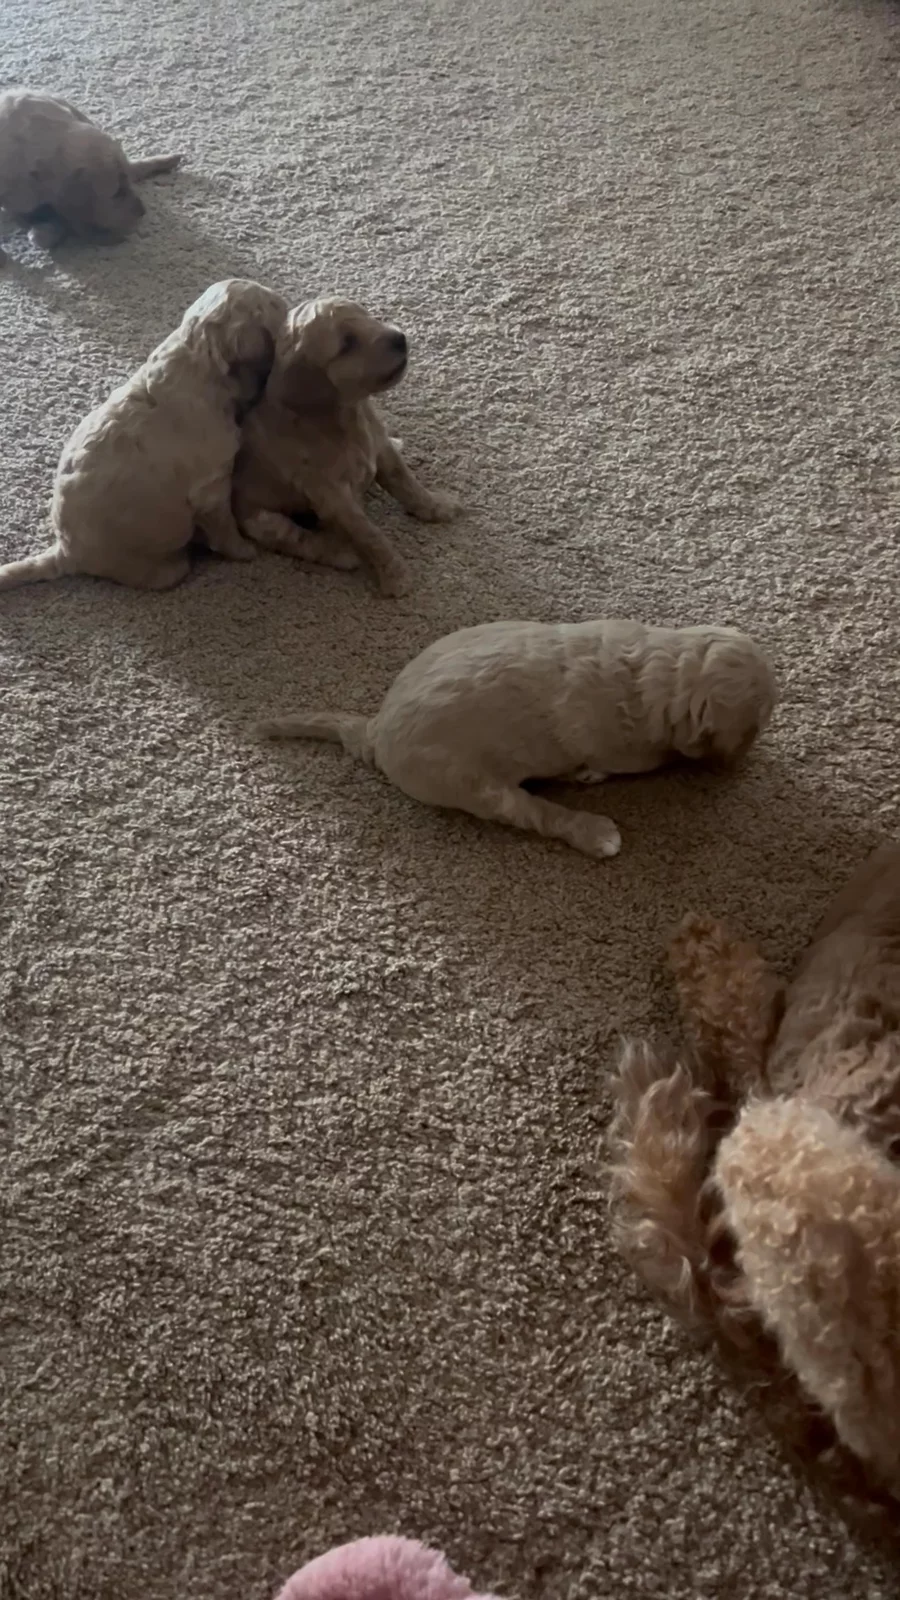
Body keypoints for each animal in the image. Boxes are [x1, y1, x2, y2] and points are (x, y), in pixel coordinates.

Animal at [0, 279, 286, 592]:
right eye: (275, 307)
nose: (290, 304)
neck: (199, 360)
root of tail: (65, 551)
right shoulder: (211, 487)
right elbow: (225, 527)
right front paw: (245, 551)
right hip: (148, 565)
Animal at [232, 296, 459, 596]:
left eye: (367, 316)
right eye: (348, 343)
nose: (400, 338)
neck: (347, 417)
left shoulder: (382, 449)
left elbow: (407, 484)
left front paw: (436, 506)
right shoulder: (334, 497)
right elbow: (371, 535)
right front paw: (395, 576)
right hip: (262, 521)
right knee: (299, 540)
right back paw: (340, 553)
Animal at [254, 618, 775, 857]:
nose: (746, 762)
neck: (658, 670)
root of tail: (376, 729)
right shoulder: (631, 749)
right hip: (471, 784)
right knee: (534, 813)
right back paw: (594, 830)